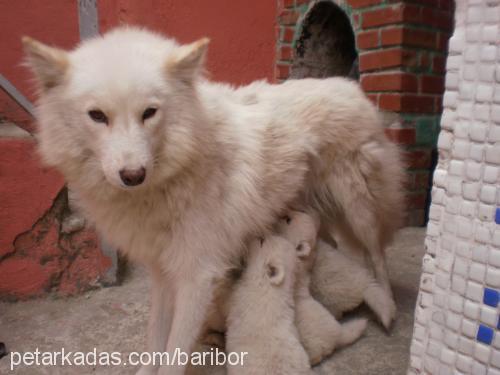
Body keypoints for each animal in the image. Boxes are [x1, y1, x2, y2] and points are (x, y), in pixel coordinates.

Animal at [24, 27, 406, 375]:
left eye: (149, 112)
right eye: (97, 115)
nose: (133, 175)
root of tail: (348, 84)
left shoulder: (197, 276)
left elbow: (173, 354)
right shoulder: (163, 273)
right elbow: (155, 340)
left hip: (359, 208)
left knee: (378, 256)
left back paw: (388, 308)